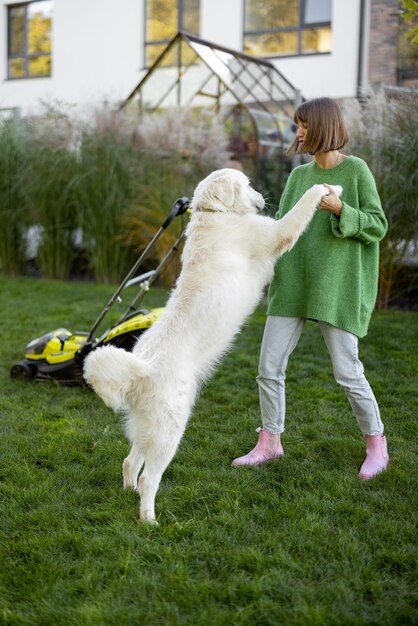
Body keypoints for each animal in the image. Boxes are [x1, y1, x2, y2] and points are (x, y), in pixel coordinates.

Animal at [83, 166, 342, 520]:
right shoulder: (278, 234)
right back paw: (149, 519)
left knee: (129, 461)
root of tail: (141, 368)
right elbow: (302, 207)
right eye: (246, 185)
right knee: (150, 476)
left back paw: (129, 494)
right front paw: (325, 188)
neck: (215, 214)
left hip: (148, 428)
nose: (262, 200)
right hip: (170, 431)